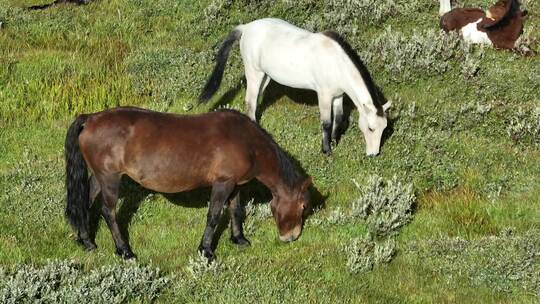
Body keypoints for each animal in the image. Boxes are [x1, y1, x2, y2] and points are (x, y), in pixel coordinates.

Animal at [66, 107, 312, 262]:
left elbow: (236, 211)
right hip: (110, 178)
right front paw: (206, 251)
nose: (291, 237)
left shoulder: (235, 185)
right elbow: (213, 216)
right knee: (108, 212)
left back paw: (86, 241)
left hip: (100, 177)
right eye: (303, 207)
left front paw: (239, 239)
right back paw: (125, 251)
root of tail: (91, 118)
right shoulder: (223, 184)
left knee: (84, 203)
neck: (246, 142)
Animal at [198, 18, 388, 157]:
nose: (373, 154)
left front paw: (335, 141)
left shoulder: (338, 95)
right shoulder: (324, 95)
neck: (336, 62)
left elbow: (339, 117)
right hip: (254, 72)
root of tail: (246, 28)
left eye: (384, 128)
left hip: (265, 76)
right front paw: (326, 150)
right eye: (371, 128)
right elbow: (326, 123)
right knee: (250, 102)